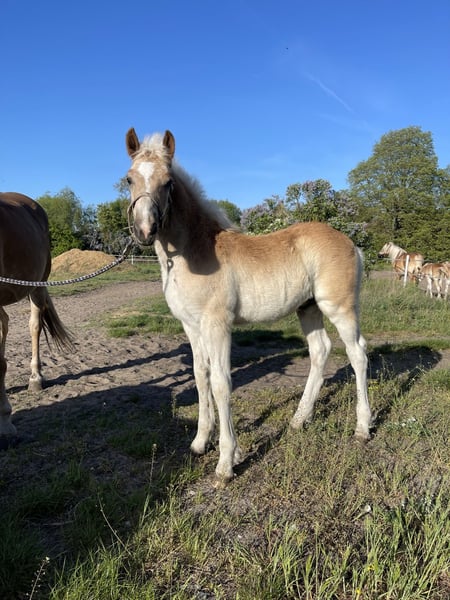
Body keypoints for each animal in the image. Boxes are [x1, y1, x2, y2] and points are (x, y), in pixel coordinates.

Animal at [125, 128, 372, 484]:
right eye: (129, 179)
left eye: (168, 182)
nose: (145, 230)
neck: (193, 252)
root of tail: (352, 243)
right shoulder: (191, 326)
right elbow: (200, 376)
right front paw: (200, 442)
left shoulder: (217, 324)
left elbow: (220, 383)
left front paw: (226, 463)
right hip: (308, 308)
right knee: (320, 351)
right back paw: (299, 420)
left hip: (339, 307)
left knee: (358, 354)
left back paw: (362, 428)